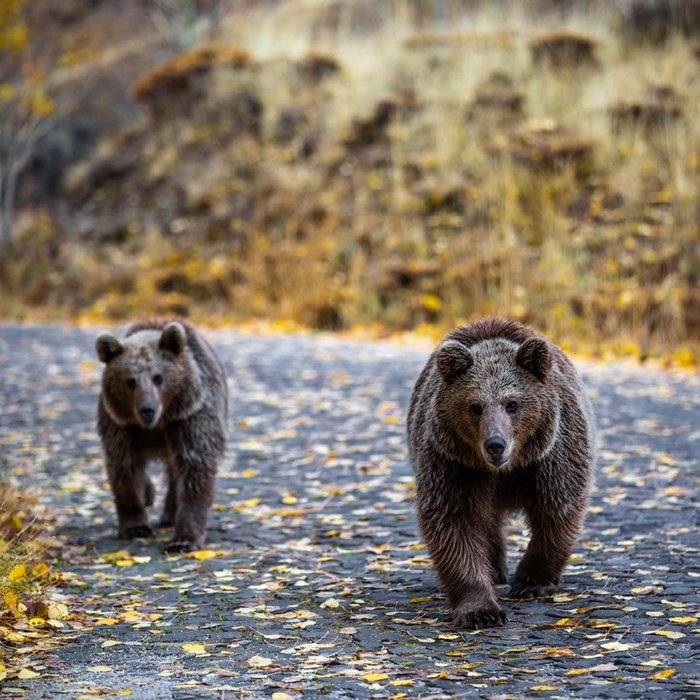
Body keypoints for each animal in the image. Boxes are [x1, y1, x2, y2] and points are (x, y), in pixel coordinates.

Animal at [94, 320, 227, 556]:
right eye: (130, 381)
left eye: (158, 377)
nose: (147, 409)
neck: (157, 424)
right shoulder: (121, 426)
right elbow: (124, 468)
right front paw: (135, 526)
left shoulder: (189, 419)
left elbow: (195, 470)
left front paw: (183, 540)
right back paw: (149, 495)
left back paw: (169, 515)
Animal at [404, 318, 596, 628]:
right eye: (475, 406)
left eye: (512, 404)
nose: (495, 444)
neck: (506, 470)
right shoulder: (454, 466)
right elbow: (454, 522)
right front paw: (480, 610)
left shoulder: (550, 459)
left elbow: (556, 512)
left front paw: (531, 582)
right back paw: (494, 569)